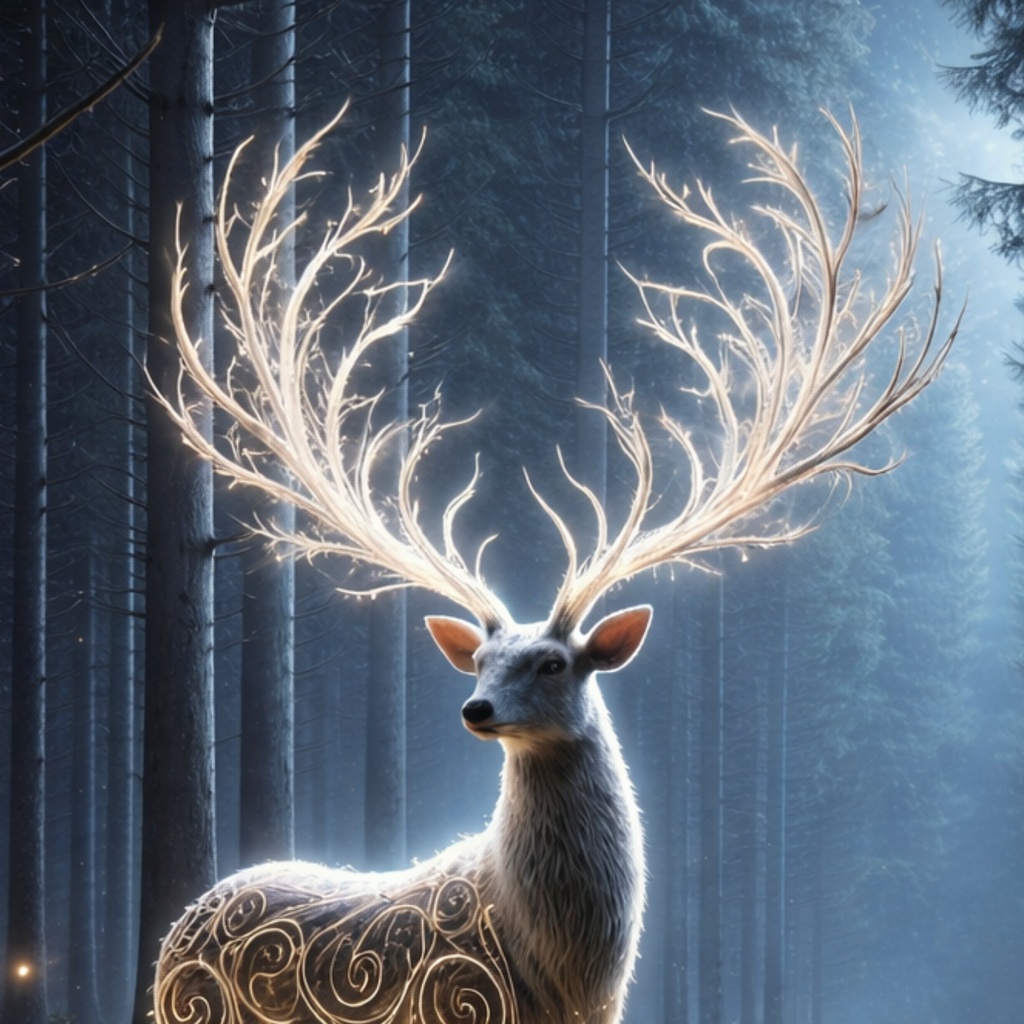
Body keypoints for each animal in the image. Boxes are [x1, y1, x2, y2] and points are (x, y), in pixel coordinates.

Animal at [150, 107, 958, 1024]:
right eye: (479, 658)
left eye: (551, 662)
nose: (475, 708)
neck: (567, 970)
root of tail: (182, 923)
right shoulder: (456, 1000)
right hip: (190, 1005)